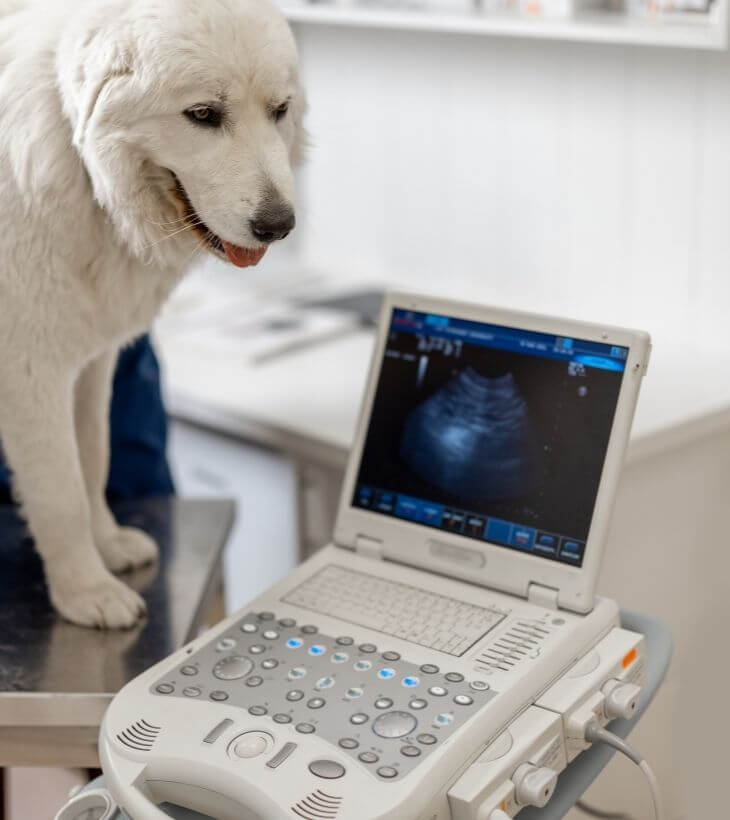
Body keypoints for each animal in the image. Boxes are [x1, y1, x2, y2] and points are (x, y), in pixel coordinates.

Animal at [0, 0, 306, 628]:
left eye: (279, 111)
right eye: (203, 115)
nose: (279, 225)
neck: (85, 169)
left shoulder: (89, 363)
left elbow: (92, 458)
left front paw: (108, 545)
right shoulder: (28, 373)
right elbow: (60, 490)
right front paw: (86, 592)